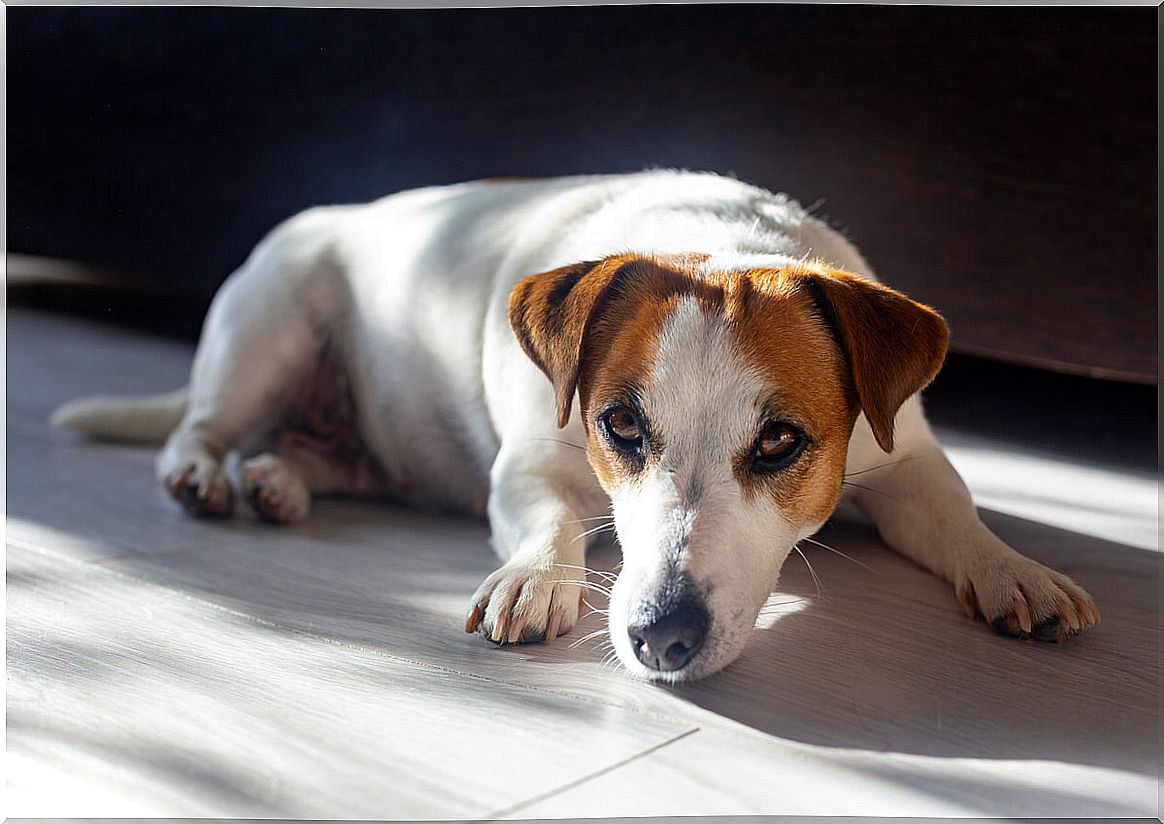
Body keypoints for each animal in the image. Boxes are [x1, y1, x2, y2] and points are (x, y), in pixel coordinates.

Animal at [52, 171, 1098, 679]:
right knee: (202, 423)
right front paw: (534, 580)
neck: (719, 234)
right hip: (266, 327)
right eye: (622, 426)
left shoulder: (908, 458)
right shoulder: (533, 465)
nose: (662, 638)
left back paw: (281, 479)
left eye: (780, 442)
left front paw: (1017, 571)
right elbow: (553, 519)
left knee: (330, 457)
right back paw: (204, 473)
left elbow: (959, 517)